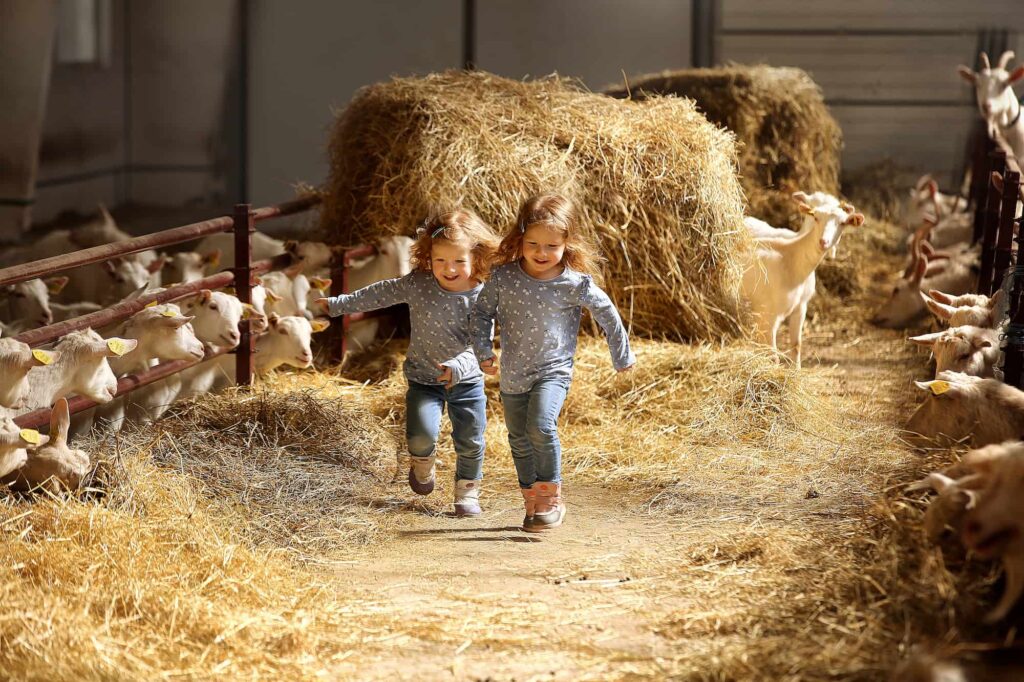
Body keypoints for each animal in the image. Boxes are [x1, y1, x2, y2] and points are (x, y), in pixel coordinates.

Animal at [737, 191, 864, 366]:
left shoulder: (800, 307)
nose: (823, 242)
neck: (791, 258)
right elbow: (773, 356)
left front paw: (796, 369)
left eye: (842, 223)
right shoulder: (768, 314)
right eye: (815, 216)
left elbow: (796, 345)